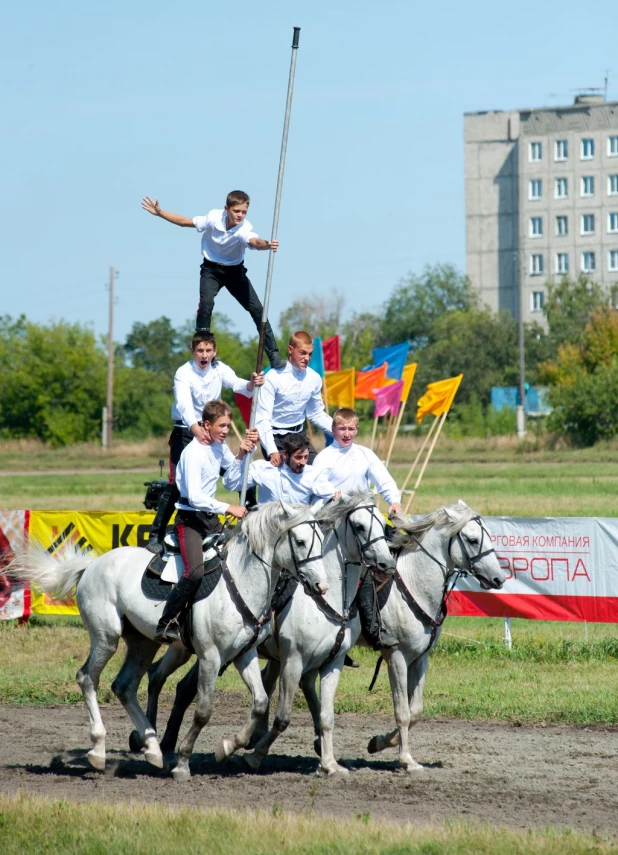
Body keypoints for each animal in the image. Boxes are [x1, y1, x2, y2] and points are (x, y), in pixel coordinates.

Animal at [9, 504, 328, 780]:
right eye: (300, 541)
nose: (321, 586)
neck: (240, 582)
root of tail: (92, 565)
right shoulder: (211, 656)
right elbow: (203, 711)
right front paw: (184, 761)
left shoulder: (243, 654)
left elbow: (260, 703)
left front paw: (228, 747)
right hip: (106, 638)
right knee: (87, 678)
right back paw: (99, 750)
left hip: (143, 643)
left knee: (124, 685)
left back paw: (152, 749)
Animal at [364, 502, 502, 776]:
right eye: (472, 540)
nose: (499, 578)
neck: (413, 586)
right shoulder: (395, 656)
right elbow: (402, 712)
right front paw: (407, 759)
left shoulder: (420, 659)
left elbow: (415, 710)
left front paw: (381, 742)